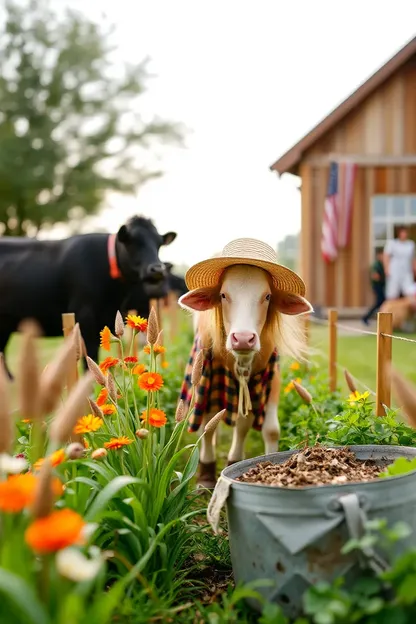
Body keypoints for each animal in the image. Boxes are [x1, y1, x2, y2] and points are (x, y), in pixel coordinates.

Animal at [179, 239, 312, 488]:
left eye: (267, 296)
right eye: (223, 295)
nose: (242, 338)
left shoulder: (270, 378)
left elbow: (266, 429)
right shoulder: (206, 379)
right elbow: (207, 425)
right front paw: (206, 475)